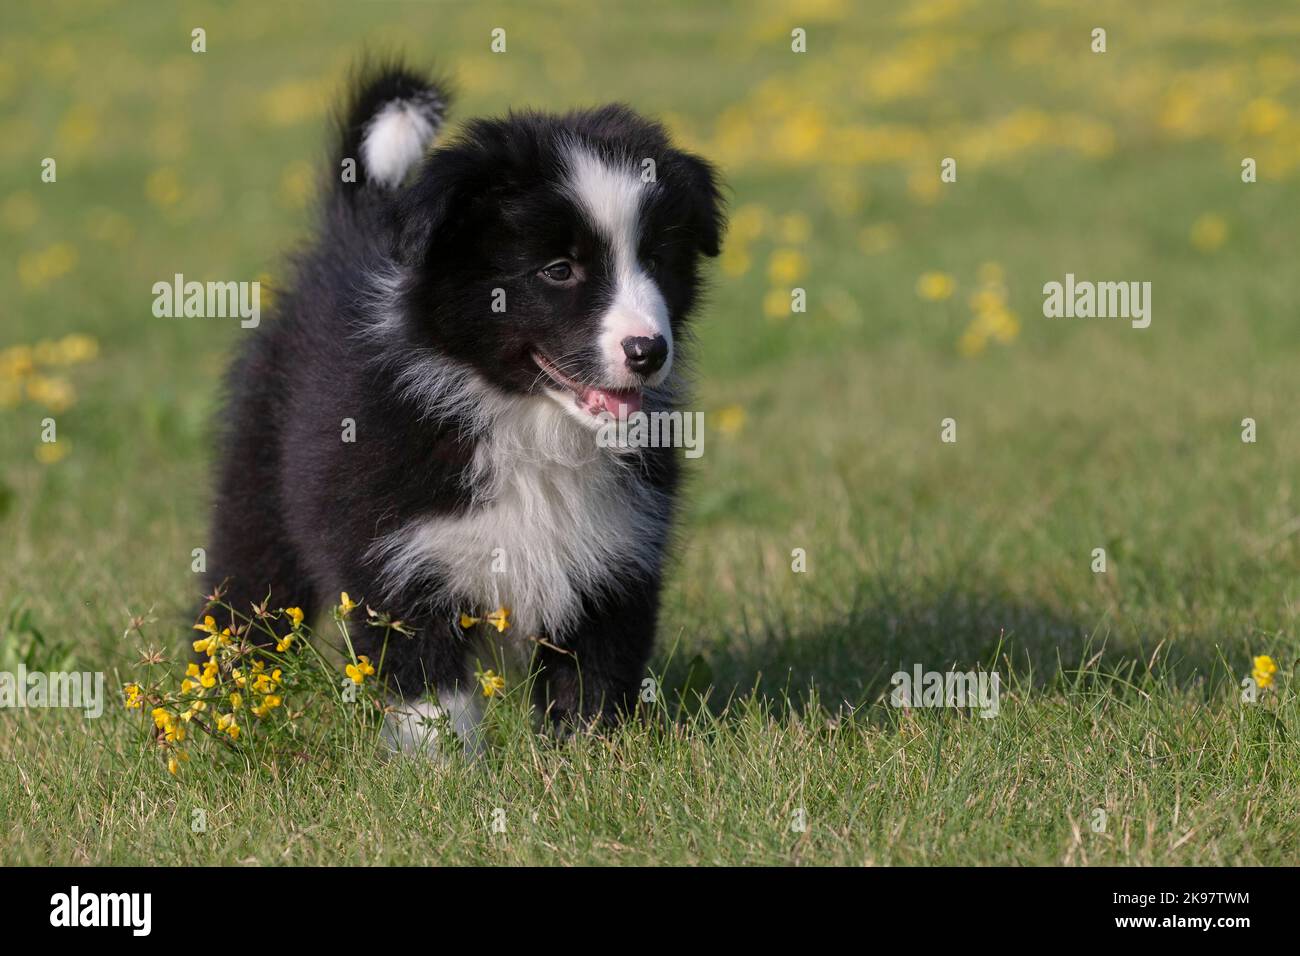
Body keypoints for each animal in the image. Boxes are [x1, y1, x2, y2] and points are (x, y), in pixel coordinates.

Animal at [208, 63, 728, 759]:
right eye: (558, 269)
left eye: (657, 260)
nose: (648, 351)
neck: (526, 421)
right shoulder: (398, 548)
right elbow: (430, 683)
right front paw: (443, 769)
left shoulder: (617, 553)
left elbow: (592, 676)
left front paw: (588, 760)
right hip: (258, 479)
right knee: (244, 591)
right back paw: (226, 701)